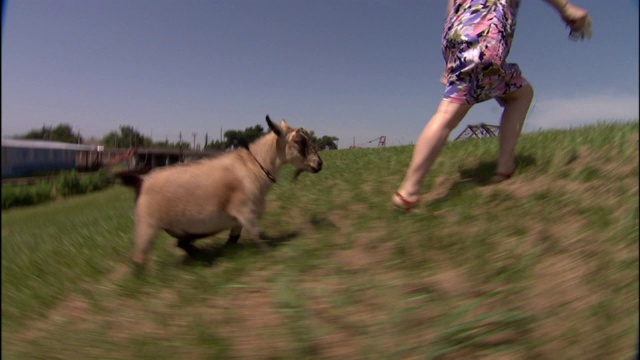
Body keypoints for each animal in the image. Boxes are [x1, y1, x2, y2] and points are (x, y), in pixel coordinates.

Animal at [115, 115, 322, 268]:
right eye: (299, 141)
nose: (319, 164)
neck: (254, 166)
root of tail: (141, 182)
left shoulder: (238, 219)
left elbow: (234, 239)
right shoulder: (245, 211)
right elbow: (259, 236)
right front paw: (272, 254)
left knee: (182, 243)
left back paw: (202, 256)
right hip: (147, 225)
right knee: (139, 258)